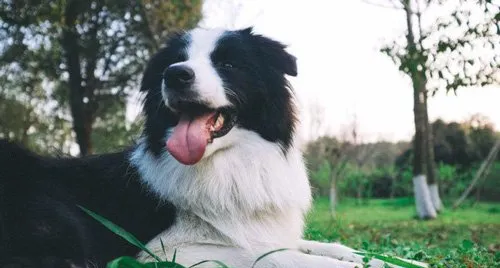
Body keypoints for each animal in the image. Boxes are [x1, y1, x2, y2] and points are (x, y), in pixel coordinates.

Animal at [0, 27, 414, 268]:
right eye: (173, 62)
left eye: (228, 63)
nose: (175, 75)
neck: (229, 162)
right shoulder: (164, 252)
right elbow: (277, 257)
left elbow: (314, 246)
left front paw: (377, 257)